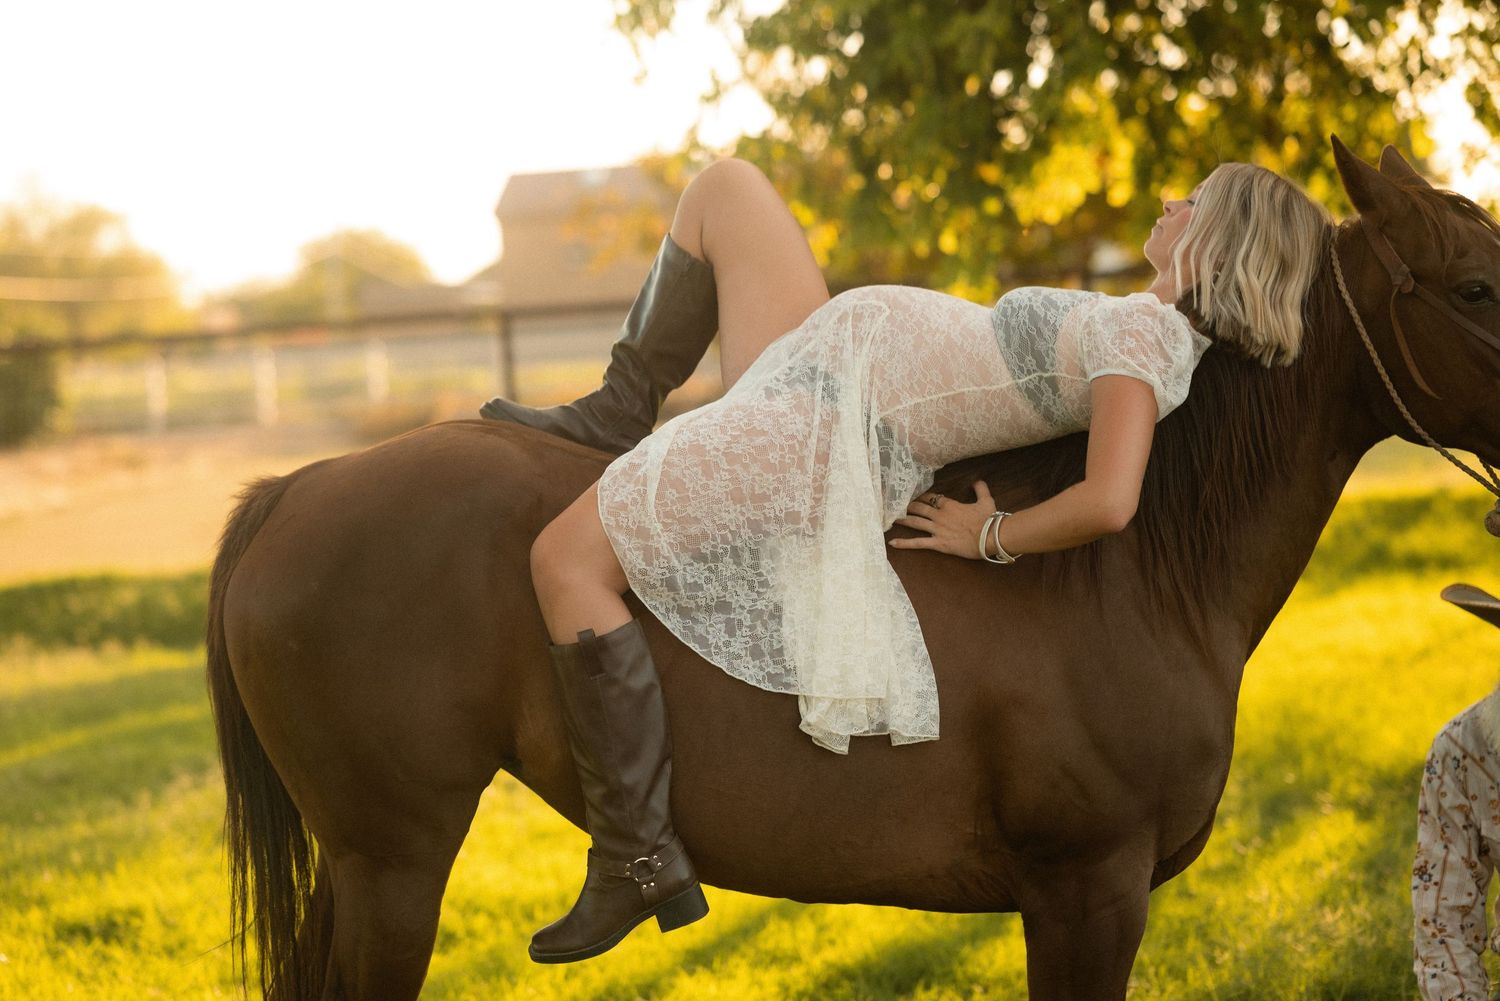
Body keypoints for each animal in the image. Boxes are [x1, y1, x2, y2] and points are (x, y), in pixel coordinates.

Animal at [206, 137, 1500, 1000]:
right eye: (1478, 284)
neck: (1130, 576)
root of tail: (295, 490)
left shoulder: (1087, 894)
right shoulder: (1088, 889)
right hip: (392, 861)